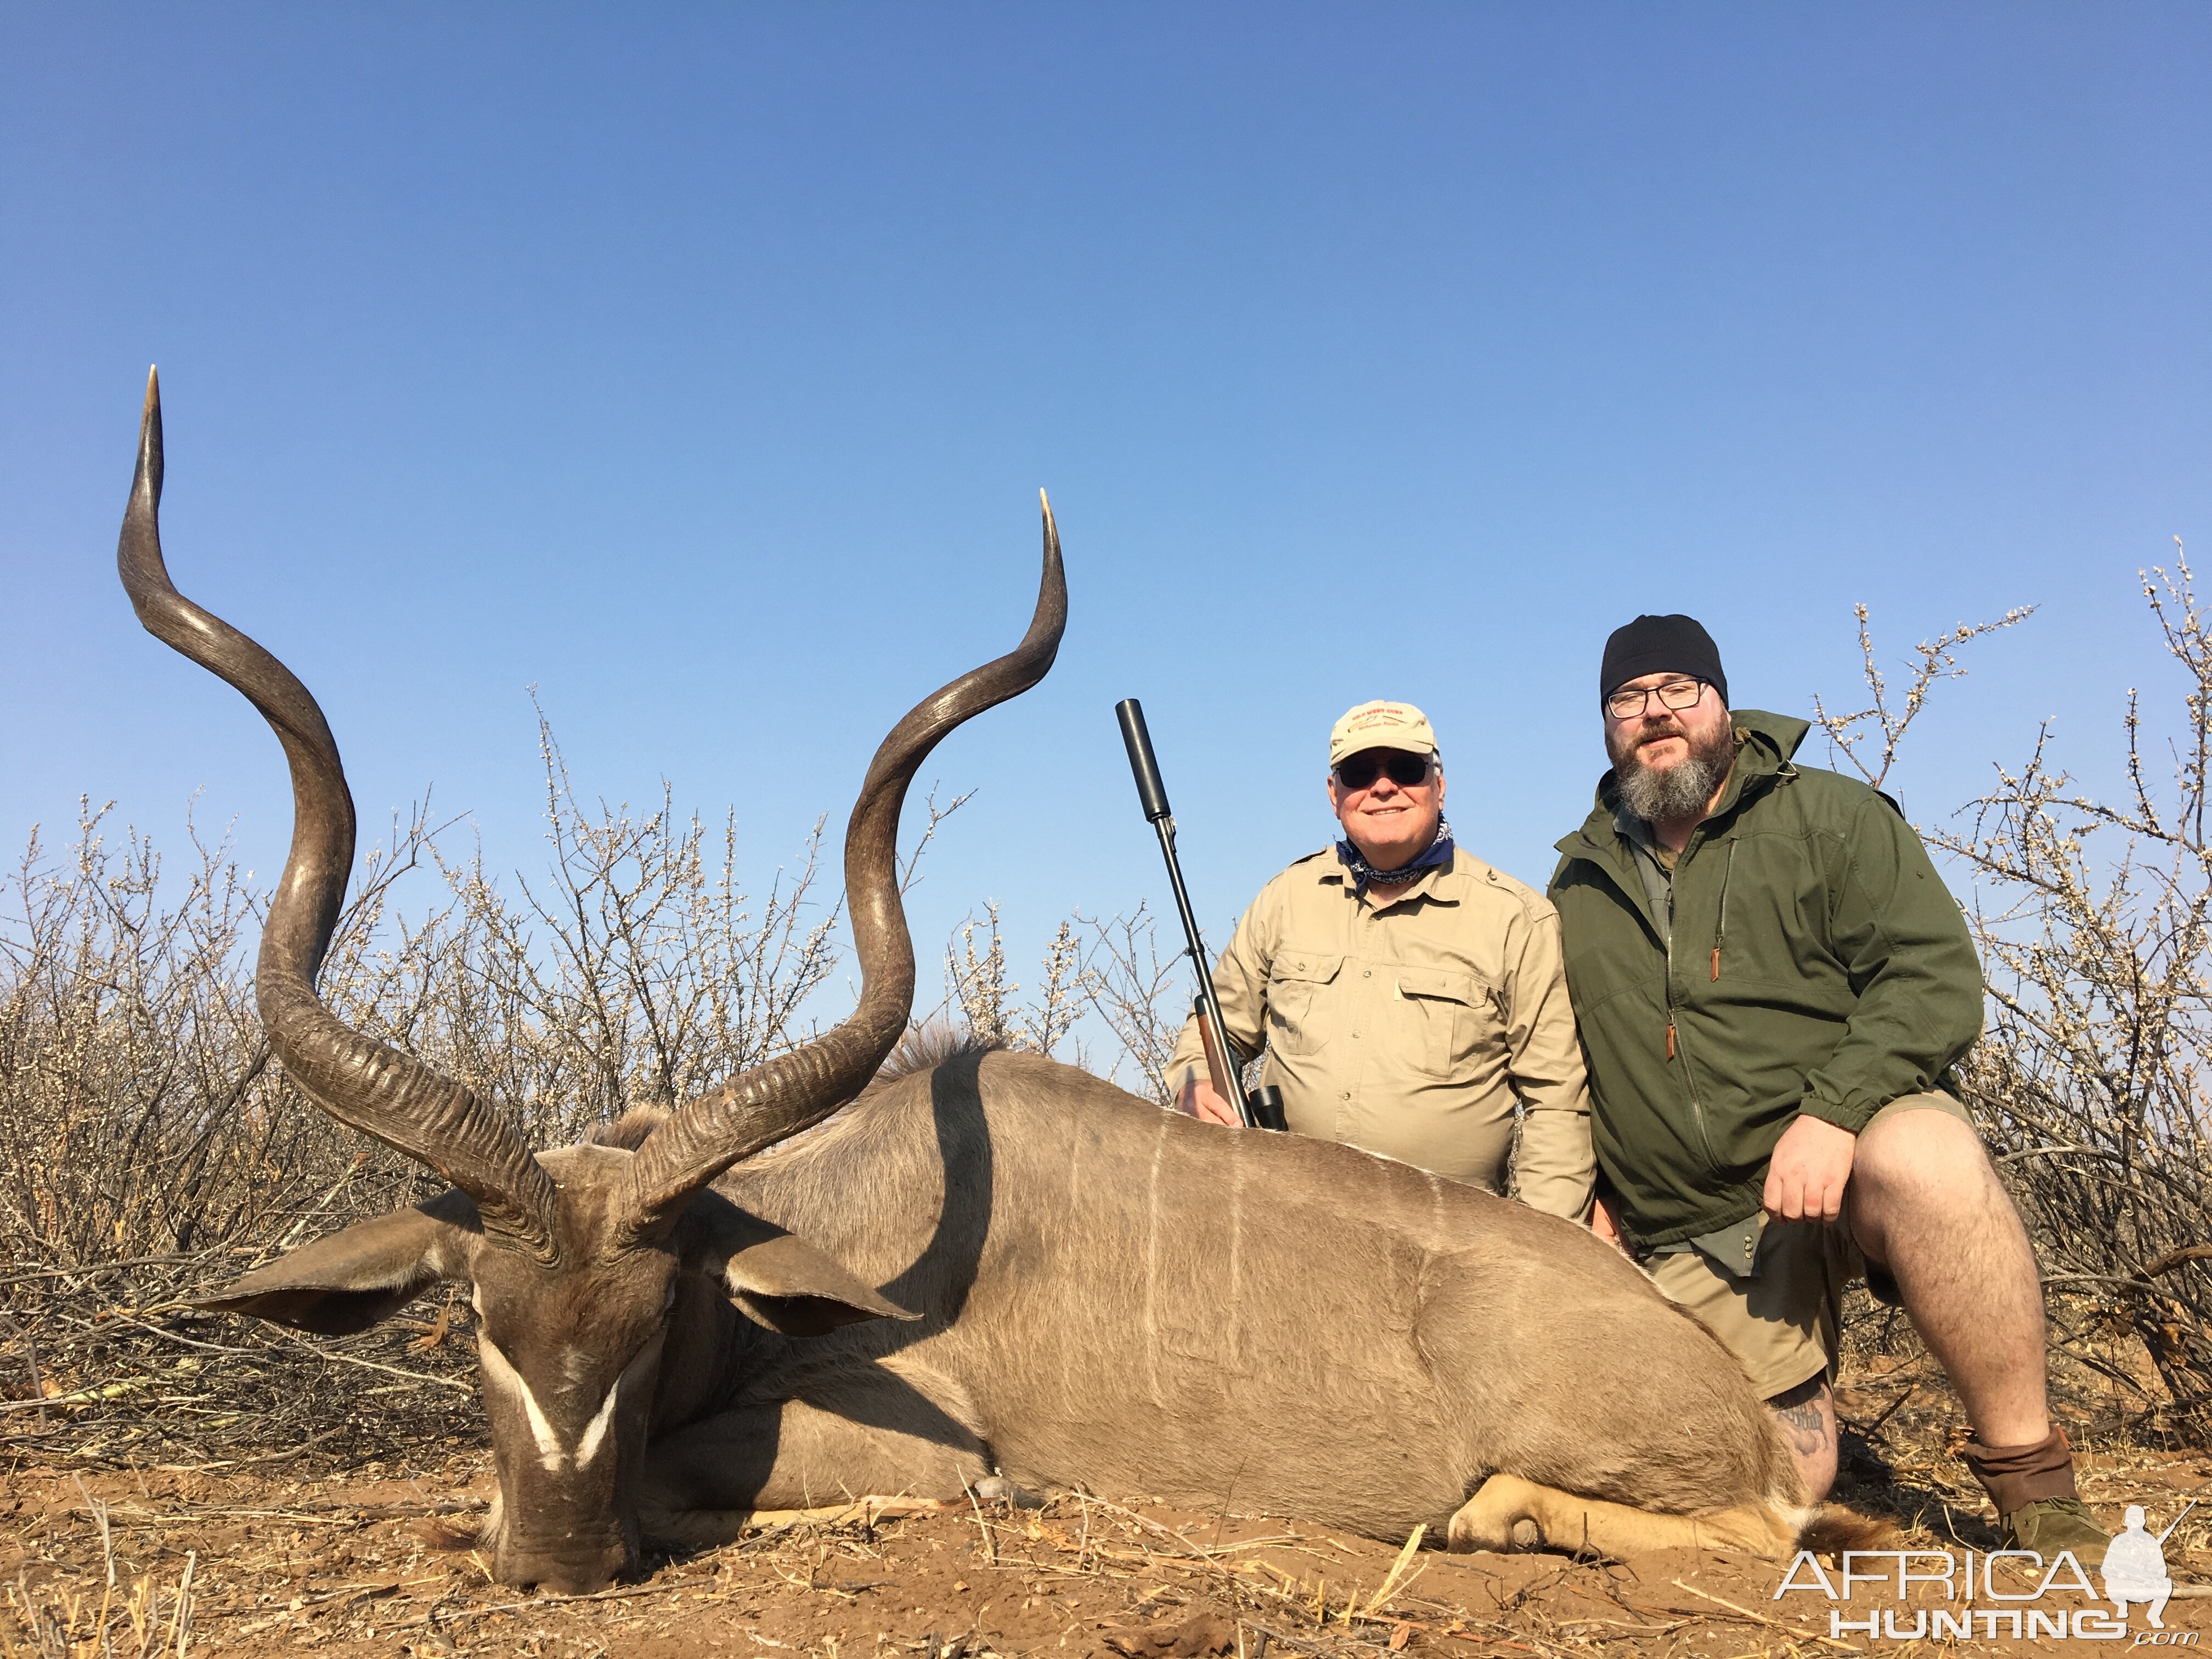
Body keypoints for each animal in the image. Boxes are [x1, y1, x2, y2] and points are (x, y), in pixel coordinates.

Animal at [121, 374, 1876, 1601]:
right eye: (477, 1322)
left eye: (652, 1317)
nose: (559, 1564)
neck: (841, 1215)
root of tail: (1725, 1387)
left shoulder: (895, 1423)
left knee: (1766, 1526)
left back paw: (1506, 1515)